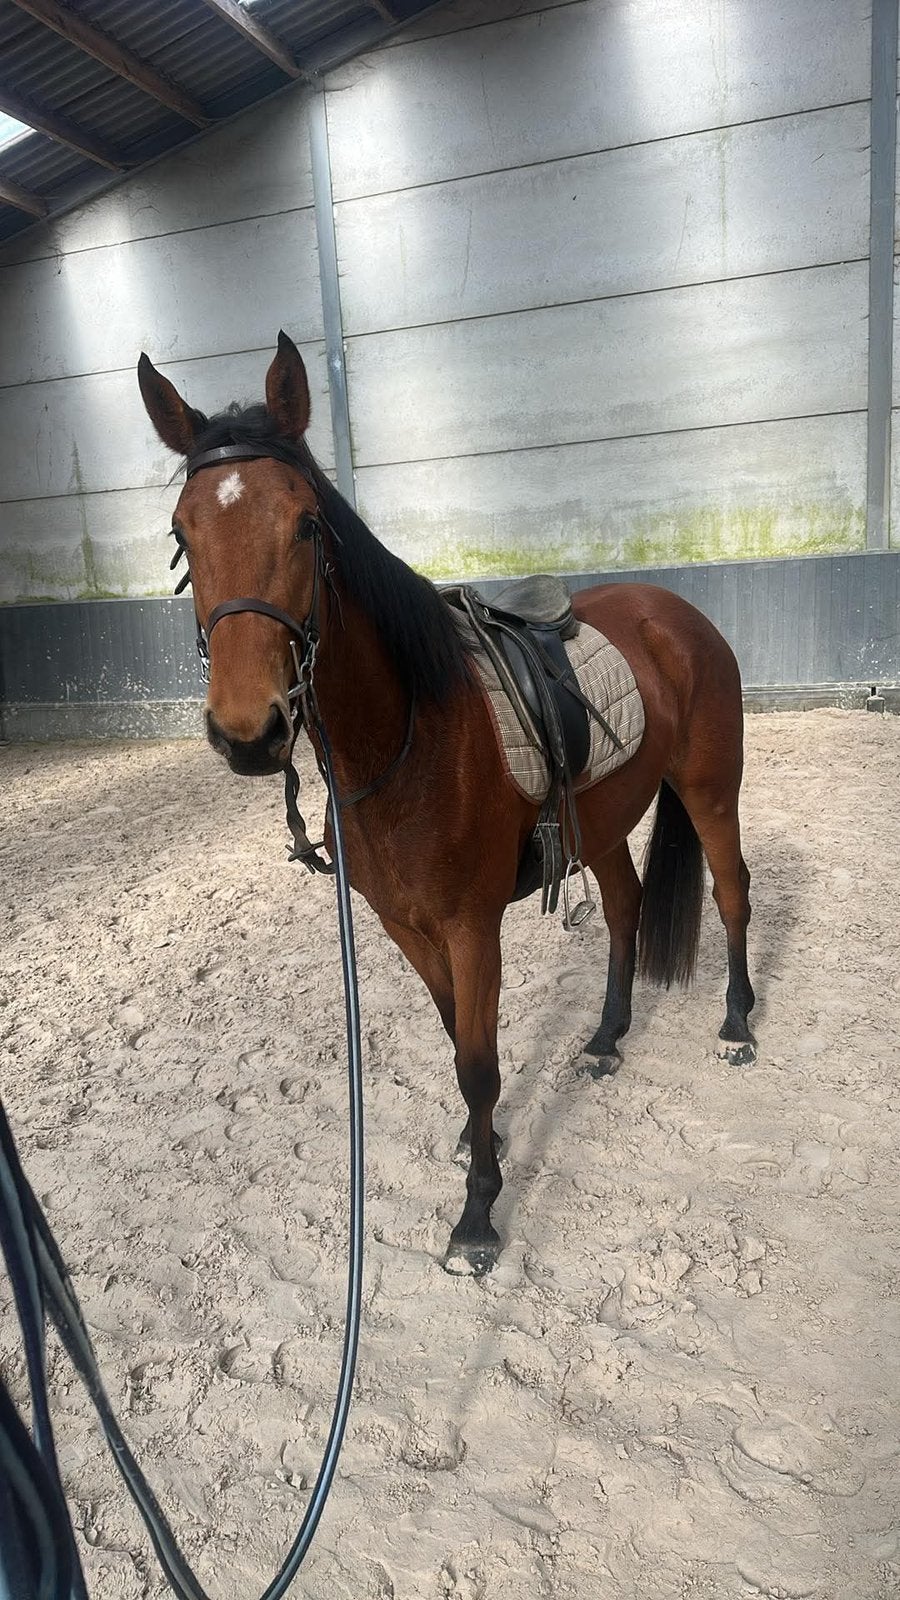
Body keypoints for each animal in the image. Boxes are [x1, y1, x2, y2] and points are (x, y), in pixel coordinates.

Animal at [137, 331, 755, 1275]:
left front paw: (477, 1213)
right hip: (607, 821)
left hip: (712, 790)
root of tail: (674, 611)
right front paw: (480, 1141)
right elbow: (454, 1038)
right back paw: (605, 1039)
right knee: (624, 908)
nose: (249, 732)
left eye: (306, 523)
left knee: (731, 893)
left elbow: (479, 1061)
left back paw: (737, 1025)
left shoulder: (471, 925)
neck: (405, 739)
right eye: (182, 532)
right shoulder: (406, 926)